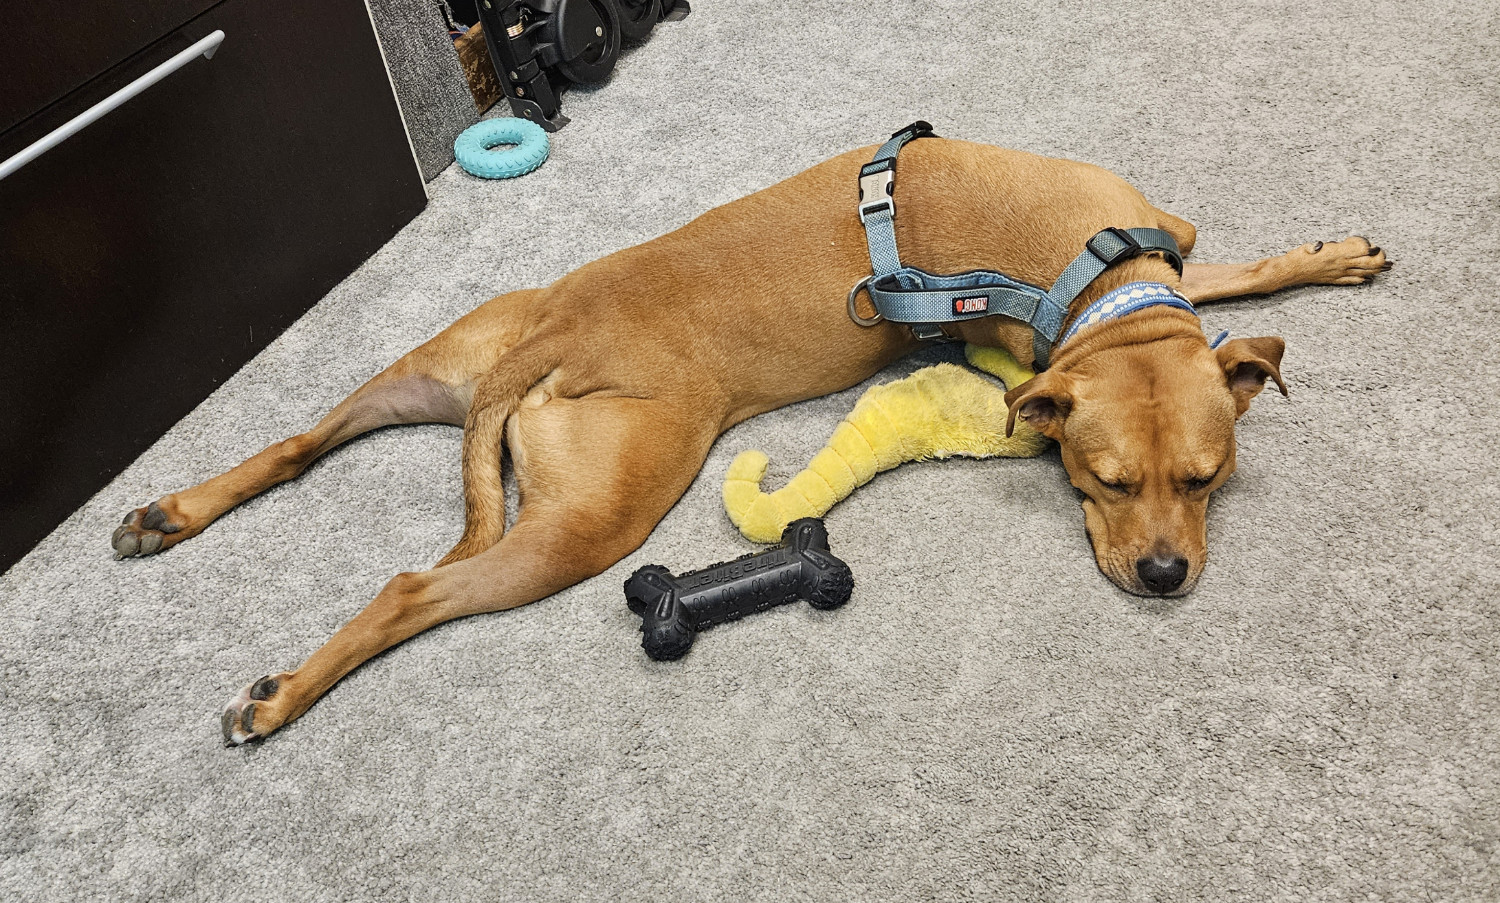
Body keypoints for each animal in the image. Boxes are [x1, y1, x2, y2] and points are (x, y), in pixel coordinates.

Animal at [111, 135, 1386, 738]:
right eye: (1106, 481)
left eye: (1206, 479)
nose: (1165, 576)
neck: (1107, 288)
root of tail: (565, 327)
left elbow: (1239, 280)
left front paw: (1329, 257)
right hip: (595, 515)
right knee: (412, 588)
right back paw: (277, 700)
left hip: (443, 359)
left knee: (299, 441)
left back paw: (168, 514)